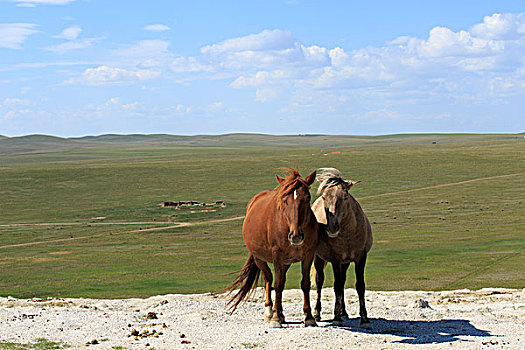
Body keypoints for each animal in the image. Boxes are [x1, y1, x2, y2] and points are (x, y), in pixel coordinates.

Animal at [226, 170, 318, 328]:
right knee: (269, 278)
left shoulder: (308, 254)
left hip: (285, 262)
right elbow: (277, 284)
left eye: (307, 199)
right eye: (285, 200)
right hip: (259, 258)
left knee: (281, 279)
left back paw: (280, 313)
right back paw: (270, 312)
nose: (296, 236)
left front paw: (309, 317)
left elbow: (305, 284)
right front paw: (275, 319)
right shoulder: (277, 255)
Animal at [312, 168, 372, 330]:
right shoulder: (336, 260)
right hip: (318, 258)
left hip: (345, 263)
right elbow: (337, 286)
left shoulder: (360, 258)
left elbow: (359, 286)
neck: (348, 234)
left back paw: (344, 312)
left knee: (343, 280)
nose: (332, 228)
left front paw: (365, 319)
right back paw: (317, 313)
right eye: (324, 197)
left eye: (345, 196)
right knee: (320, 281)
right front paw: (336, 318)